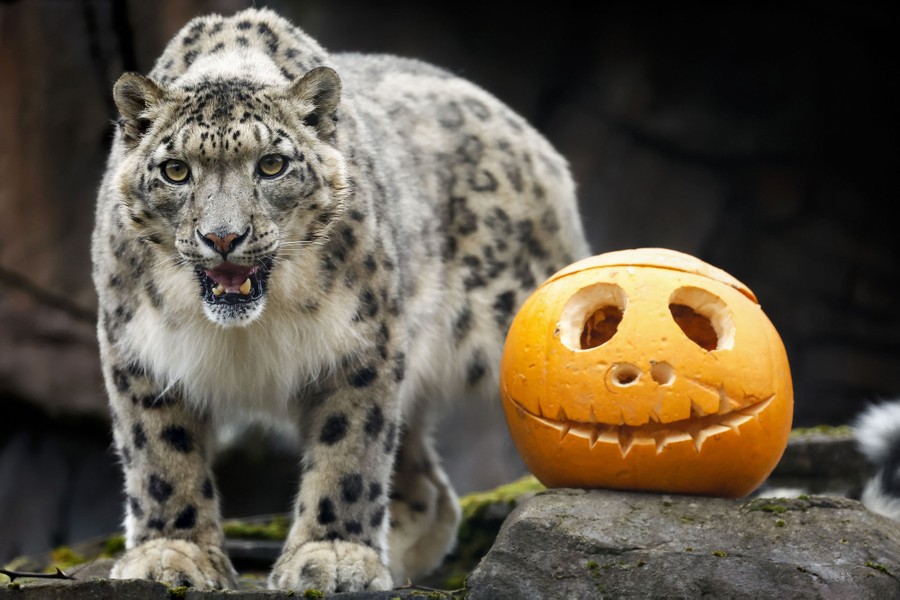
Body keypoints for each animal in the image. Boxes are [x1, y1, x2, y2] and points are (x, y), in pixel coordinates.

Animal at [91, 6, 589, 593]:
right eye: (175, 171)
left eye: (272, 165)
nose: (223, 237)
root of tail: (529, 135)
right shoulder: (140, 346)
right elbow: (161, 453)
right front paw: (172, 552)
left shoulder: (361, 340)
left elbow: (349, 449)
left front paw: (332, 555)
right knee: (428, 490)